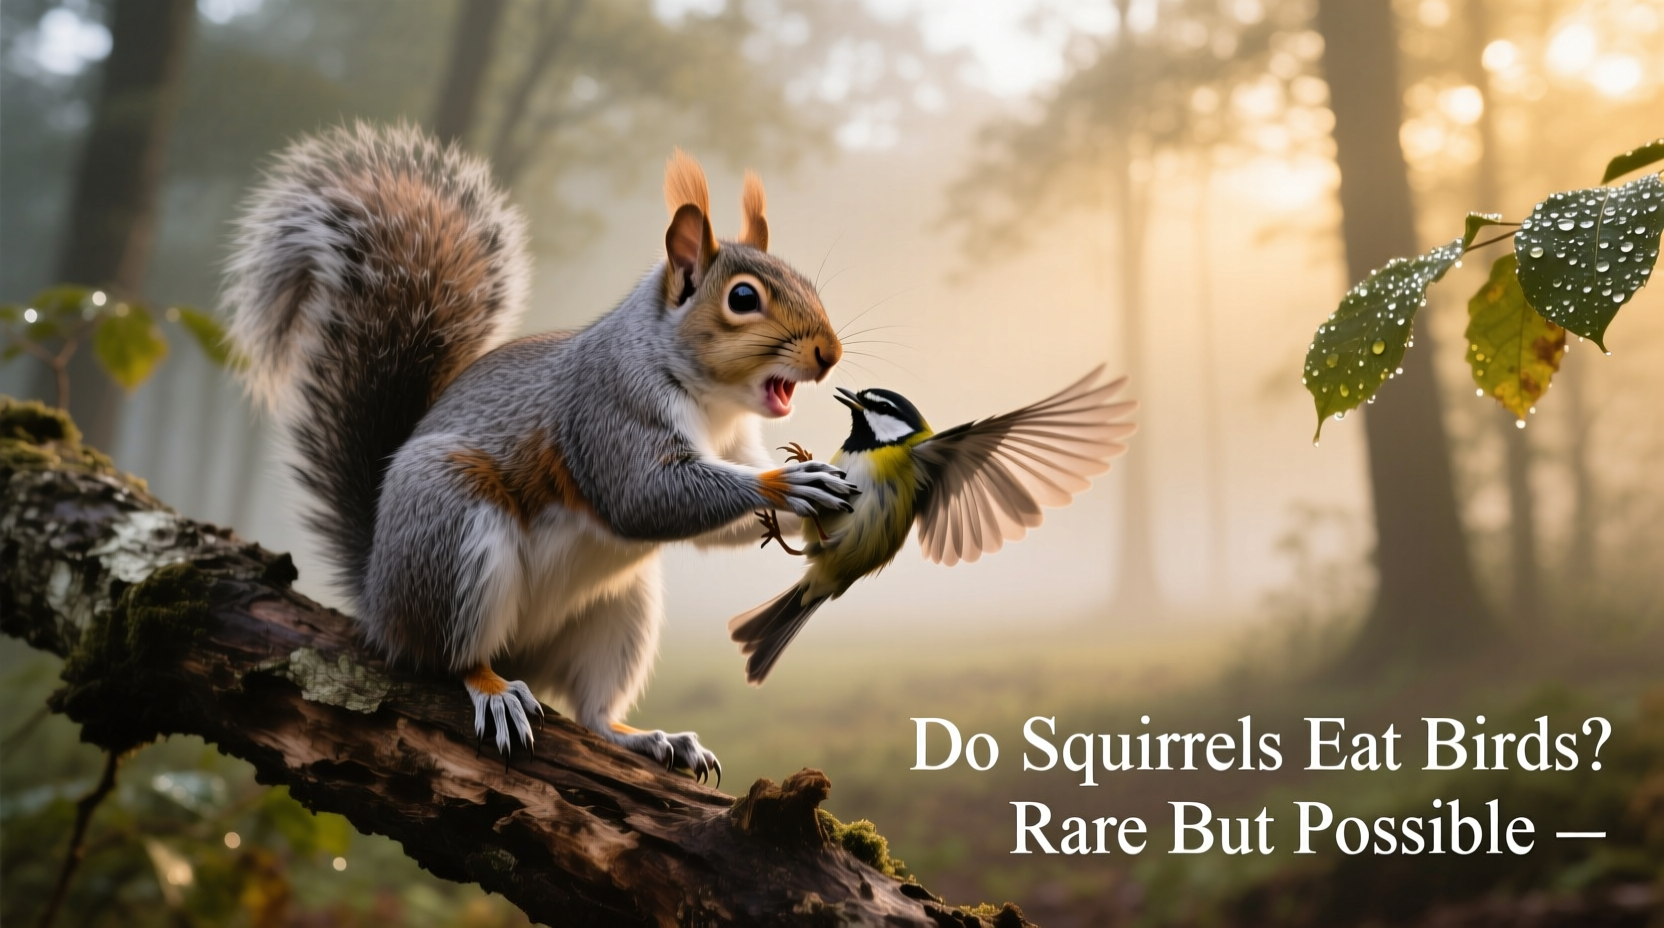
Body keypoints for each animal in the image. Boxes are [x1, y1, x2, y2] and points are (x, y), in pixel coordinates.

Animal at [224, 122, 857, 778]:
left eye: (805, 280)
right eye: (742, 298)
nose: (830, 353)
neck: (712, 402)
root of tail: (378, 603)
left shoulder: (734, 443)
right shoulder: (609, 409)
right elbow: (645, 497)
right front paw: (791, 484)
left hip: (621, 610)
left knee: (595, 711)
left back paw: (650, 738)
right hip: (453, 533)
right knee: (447, 658)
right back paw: (494, 690)